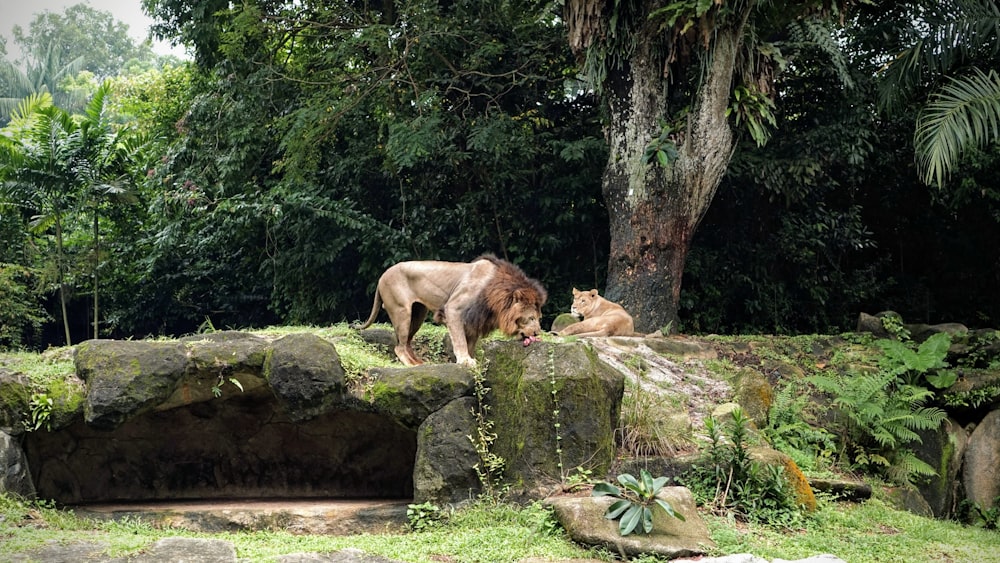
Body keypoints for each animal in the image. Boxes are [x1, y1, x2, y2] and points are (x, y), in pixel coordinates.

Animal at [352, 254, 548, 368]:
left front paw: (469, 358)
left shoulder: (475, 320)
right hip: (401, 311)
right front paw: (465, 361)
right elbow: (460, 340)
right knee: (399, 347)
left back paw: (420, 363)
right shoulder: (453, 308)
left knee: (406, 343)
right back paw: (412, 365)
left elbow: (470, 342)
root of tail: (381, 277)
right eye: (531, 318)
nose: (538, 333)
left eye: (539, 318)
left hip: (418, 314)